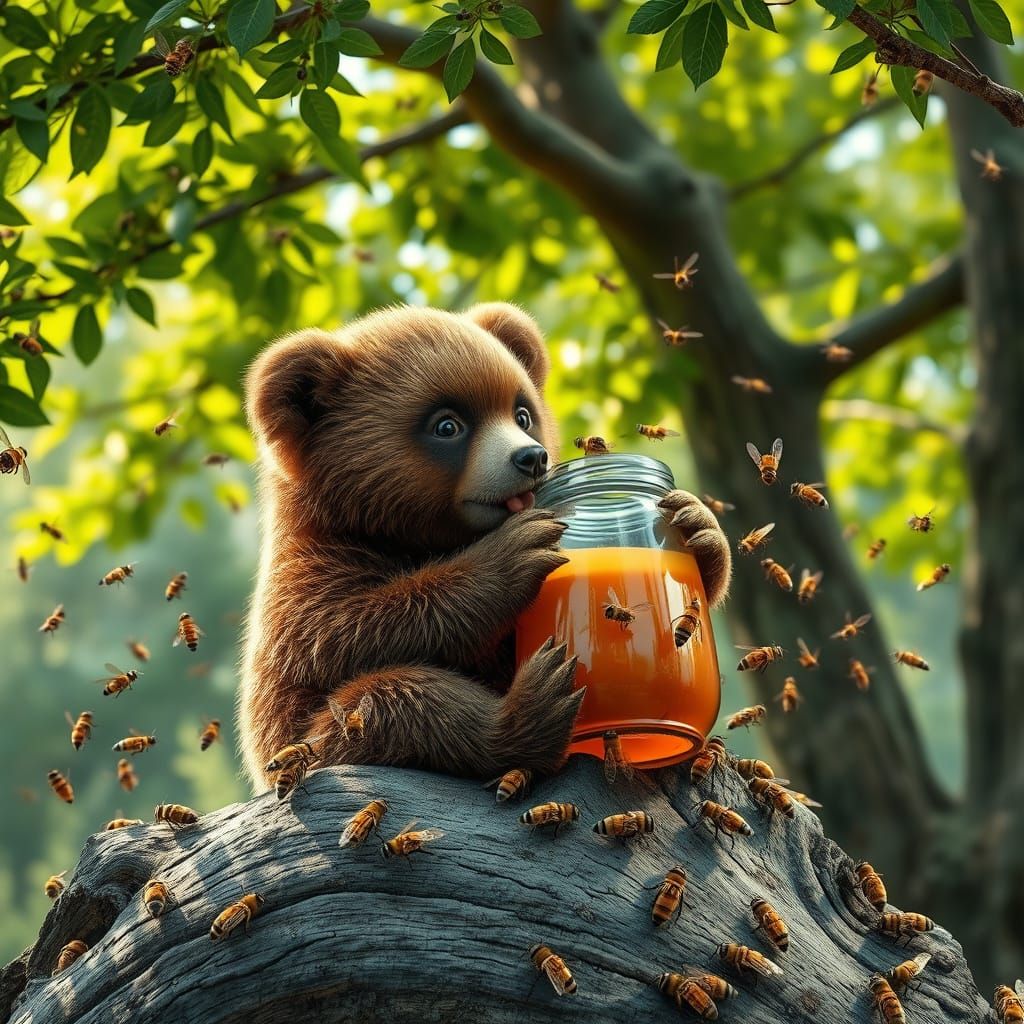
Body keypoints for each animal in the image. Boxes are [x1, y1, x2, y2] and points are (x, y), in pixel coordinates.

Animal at [239, 303, 731, 791]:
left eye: (522, 413)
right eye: (447, 425)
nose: (532, 458)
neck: (413, 534)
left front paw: (699, 526)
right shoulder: (314, 568)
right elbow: (337, 632)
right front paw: (514, 553)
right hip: (317, 740)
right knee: (392, 699)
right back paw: (536, 703)